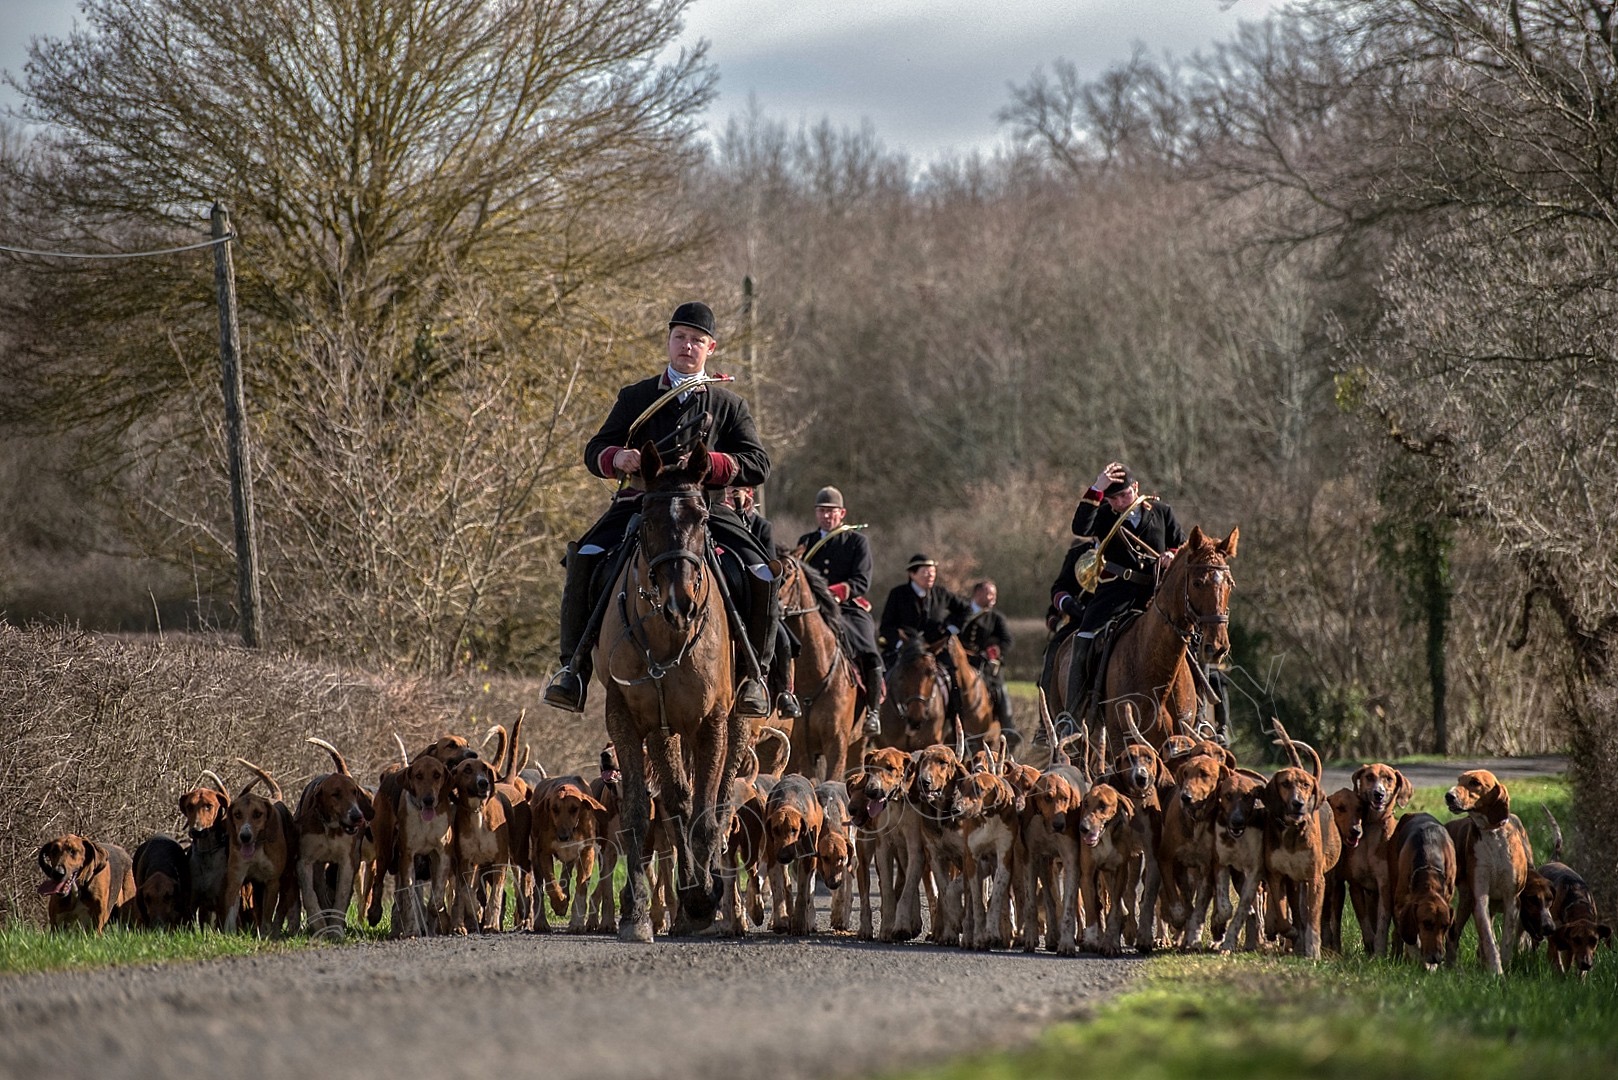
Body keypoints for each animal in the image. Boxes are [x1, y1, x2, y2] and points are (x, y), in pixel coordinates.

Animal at [595, 443, 750, 939]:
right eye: (646, 520)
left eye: (701, 517)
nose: (679, 605)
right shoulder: (627, 718)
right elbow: (639, 813)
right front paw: (637, 913)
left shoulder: (712, 723)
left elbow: (705, 813)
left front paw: (704, 899)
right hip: (666, 730)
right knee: (677, 798)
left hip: (738, 721)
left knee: (717, 801)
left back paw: (705, 891)